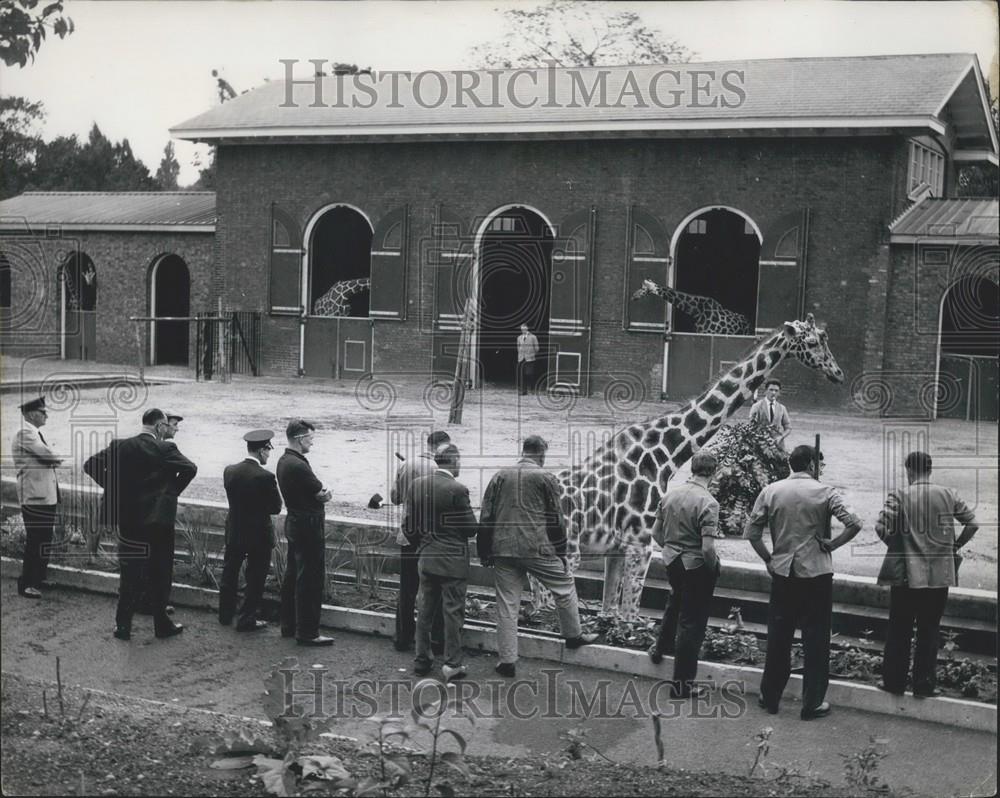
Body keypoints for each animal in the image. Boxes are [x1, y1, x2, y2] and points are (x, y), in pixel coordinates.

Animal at [536, 316, 840, 620]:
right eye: (813, 342)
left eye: (825, 338)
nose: (838, 374)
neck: (664, 454)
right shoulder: (641, 543)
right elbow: (630, 616)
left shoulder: (617, 547)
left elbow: (610, 612)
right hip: (568, 555)